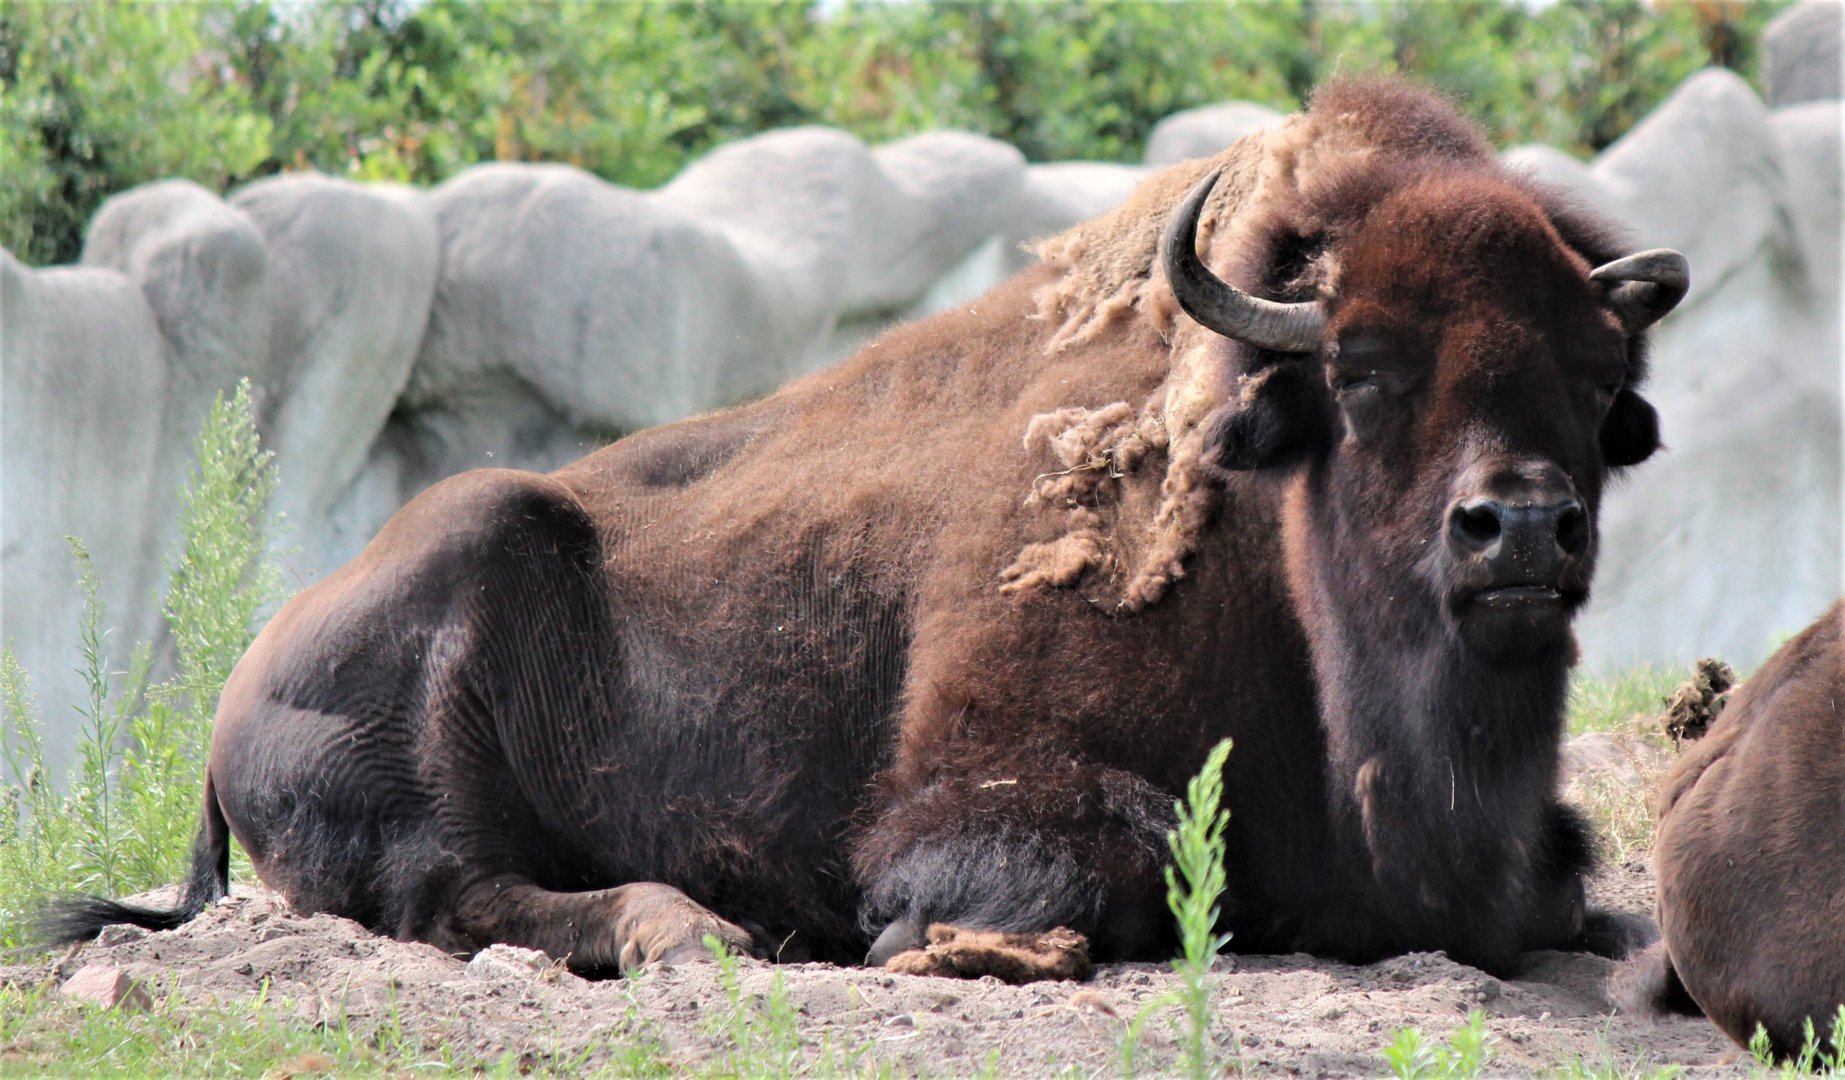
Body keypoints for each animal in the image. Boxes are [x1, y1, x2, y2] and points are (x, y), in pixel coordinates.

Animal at [51, 78, 1687, 980]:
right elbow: (1106, 861)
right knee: (456, 891)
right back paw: (693, 933)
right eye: (1357, 370)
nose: (1517, 531)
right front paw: (934, 944)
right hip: (456, 623)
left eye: (1600, 379)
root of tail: (239, 687)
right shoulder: (971, 795)